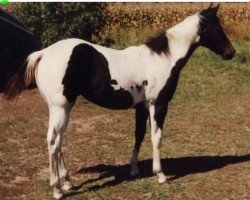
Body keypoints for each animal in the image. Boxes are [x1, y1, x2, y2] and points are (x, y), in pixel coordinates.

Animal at [3, 3, 235, 199]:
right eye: (217, 28)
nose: (230, 52)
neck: (163, 59)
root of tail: (43, 53)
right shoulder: (158, 105)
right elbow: (156, 137)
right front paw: (160, 175)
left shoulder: (141, 106)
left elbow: (139, 135)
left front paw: (134, 169)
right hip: (59, 108)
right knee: (53, 142)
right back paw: (57, 190)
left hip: (63, 108)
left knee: (58, 141)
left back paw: (67, 182)